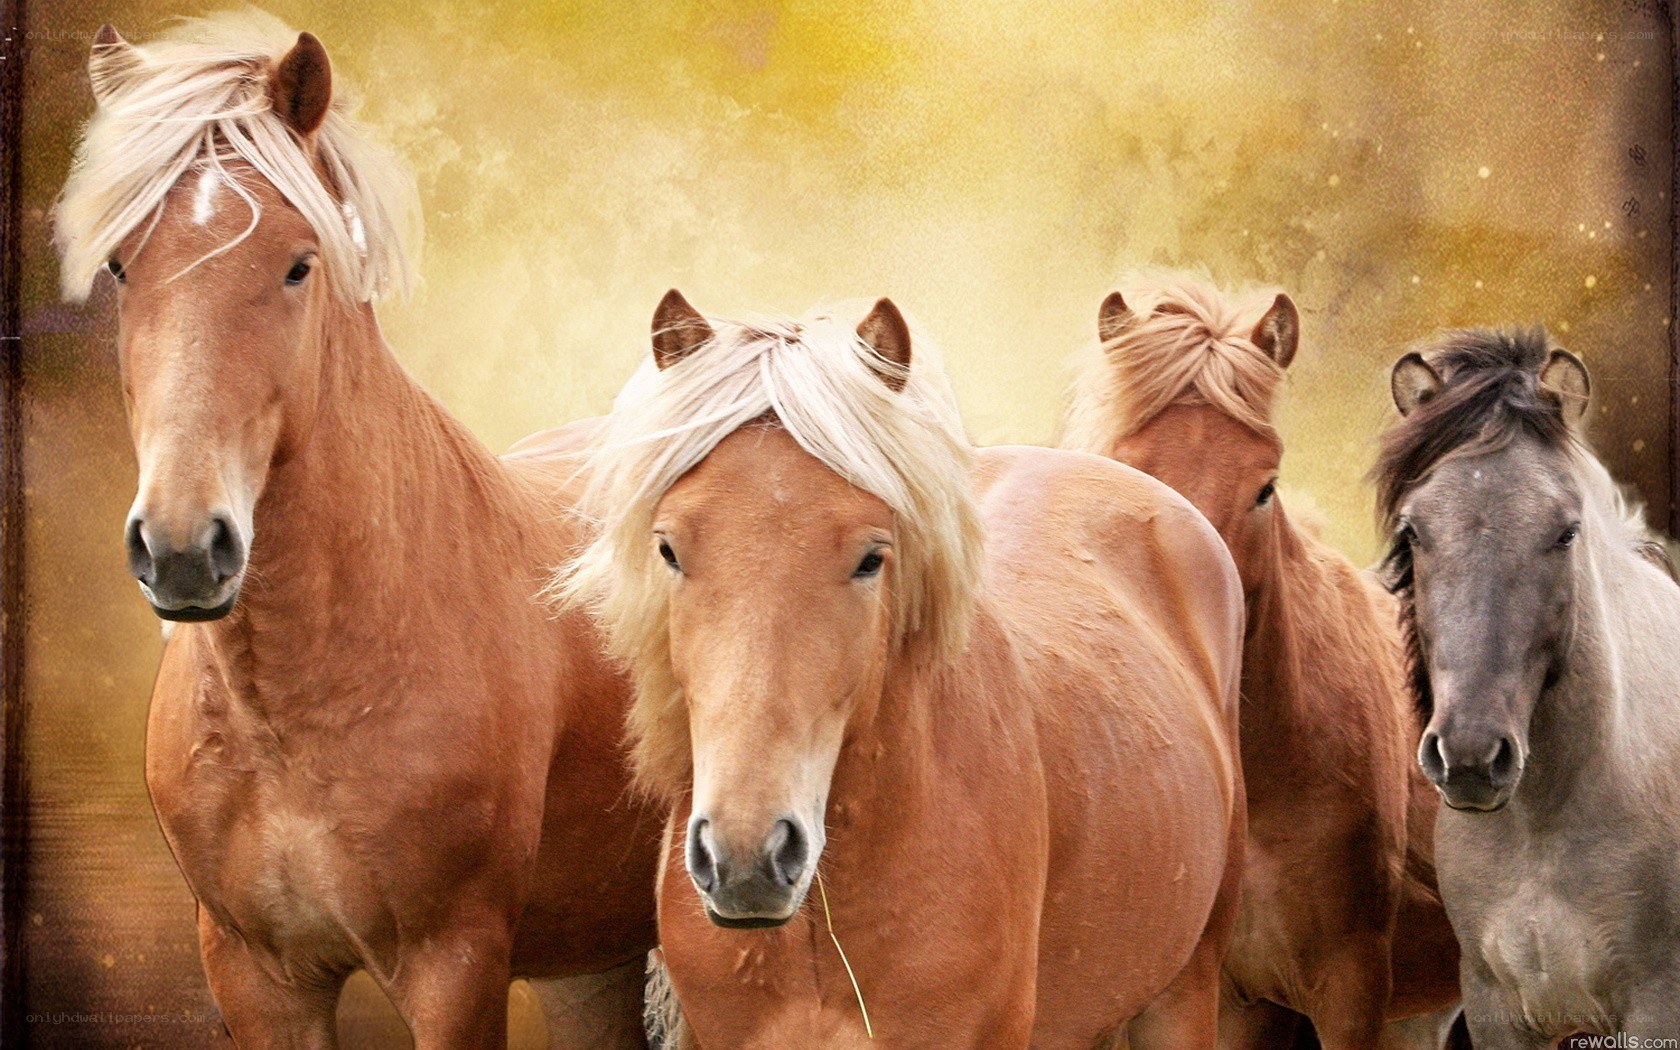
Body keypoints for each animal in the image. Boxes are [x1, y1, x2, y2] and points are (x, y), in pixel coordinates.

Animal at [54, 15, 661, 1047]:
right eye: (120, 266)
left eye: (298, 264)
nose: (182, 550)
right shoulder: (259, 974)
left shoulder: (455, 967)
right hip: (594, 958)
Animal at [1376, 329, 1680, 1046]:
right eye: (1413, 530)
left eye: (1565, 531)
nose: (1470, 757)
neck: (1544, 825)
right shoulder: (1495, 1007)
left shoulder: (1659, 1003)